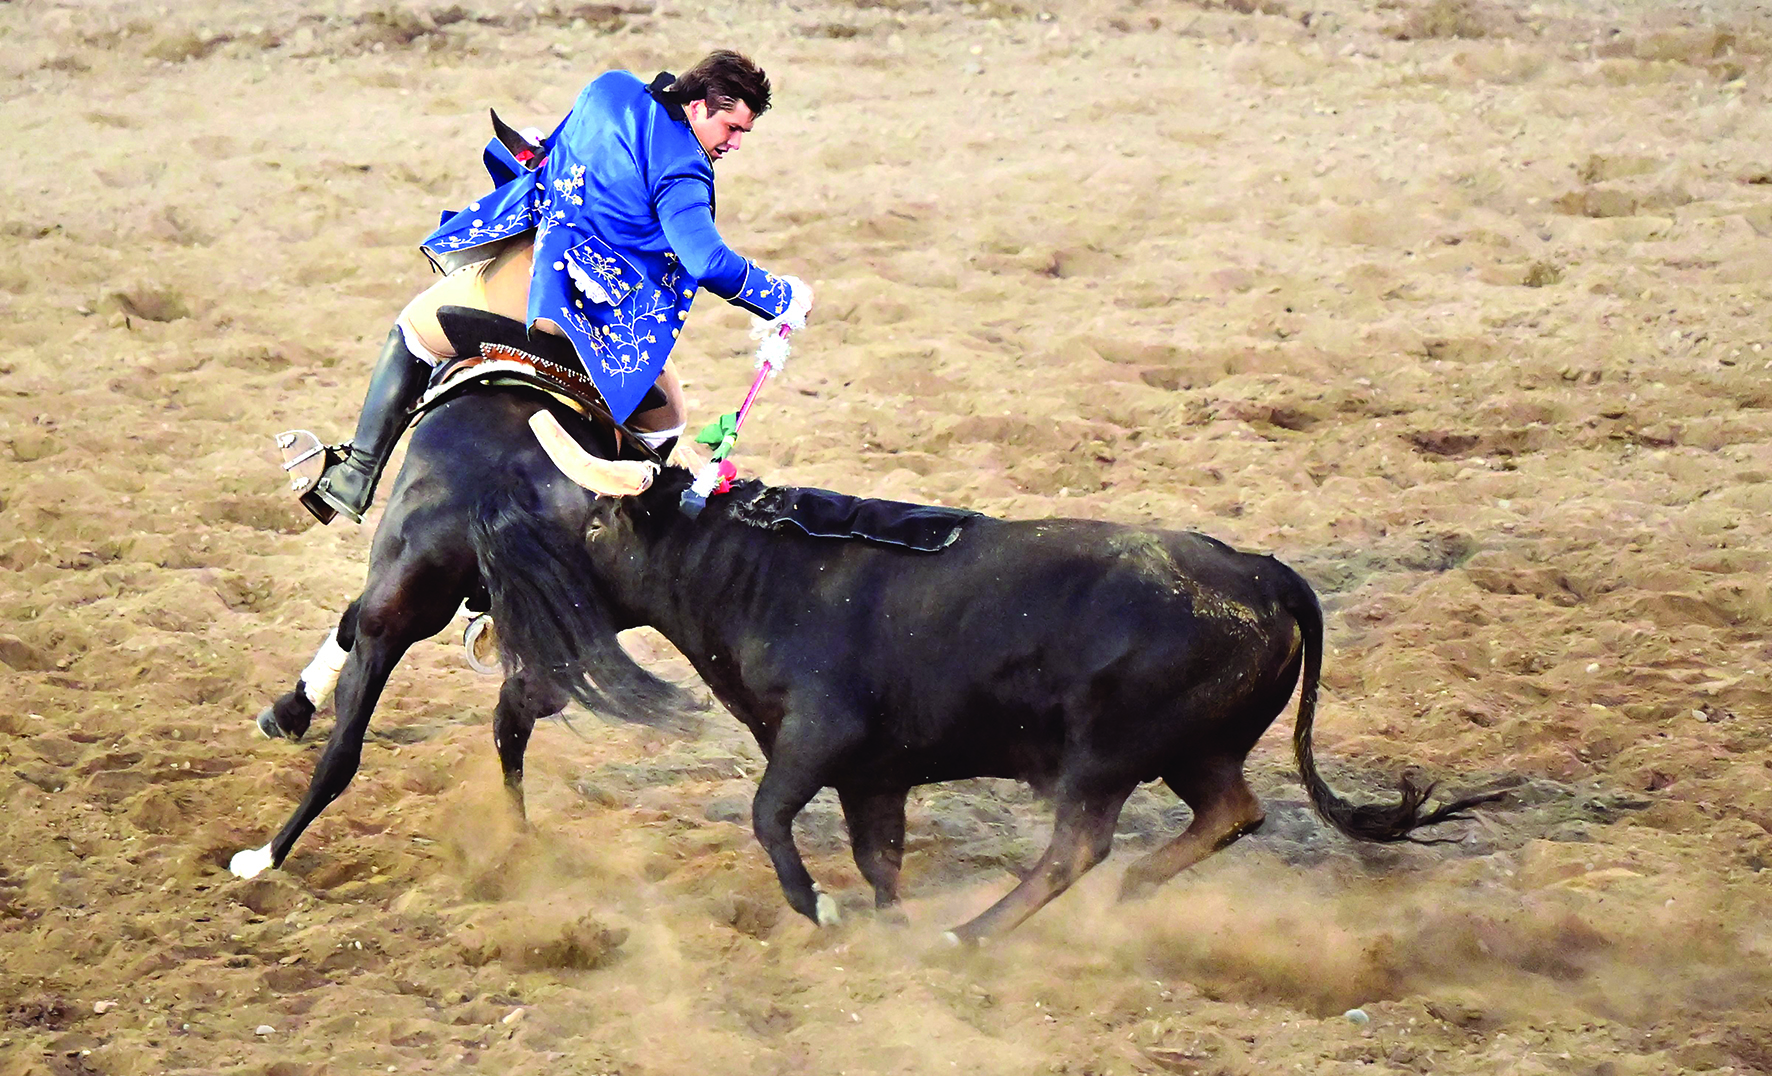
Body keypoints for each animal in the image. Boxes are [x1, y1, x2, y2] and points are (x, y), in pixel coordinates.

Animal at [239, 384, 1495, 943]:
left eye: (590, 519)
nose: (488, 567)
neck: (763, 572)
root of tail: (1265, 571)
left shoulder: (819, 740)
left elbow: (768, 815)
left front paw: (822, 910)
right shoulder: (873, 771)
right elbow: (874, 848)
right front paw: (877, 913)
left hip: (1106, 752)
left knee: (1078, 841)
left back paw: (978, 927)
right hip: (1191, 749)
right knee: (1225, 811)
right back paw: (1123, 894)